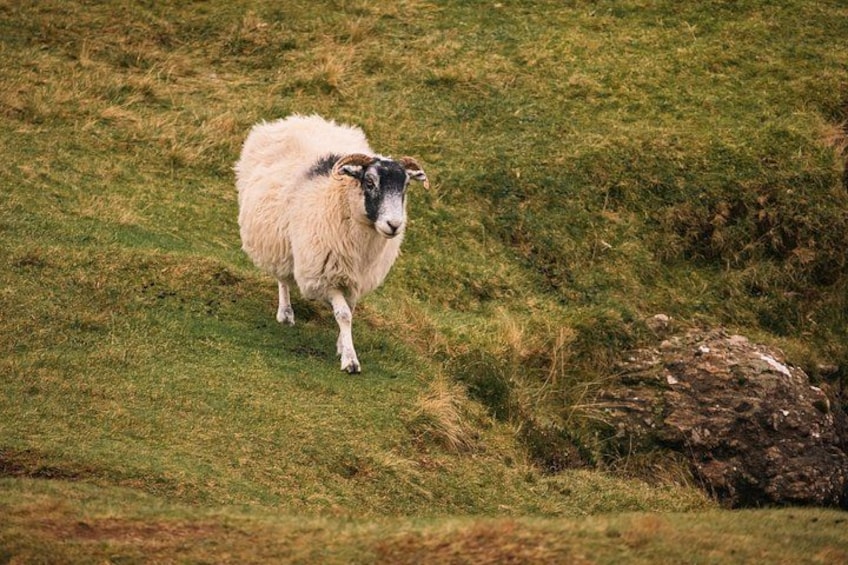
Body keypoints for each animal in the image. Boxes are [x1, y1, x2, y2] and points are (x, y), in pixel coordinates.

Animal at [235, 114, 429, 374]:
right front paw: (350, 359)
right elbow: (344, 314)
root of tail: (296, 119)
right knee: (283, 276)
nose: (394, 224)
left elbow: (350, 311)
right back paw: (285, 313)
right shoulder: (325, 275)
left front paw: (341, 344)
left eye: (405, 186)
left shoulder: (357, 277)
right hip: (279, 240)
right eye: (369, 182)